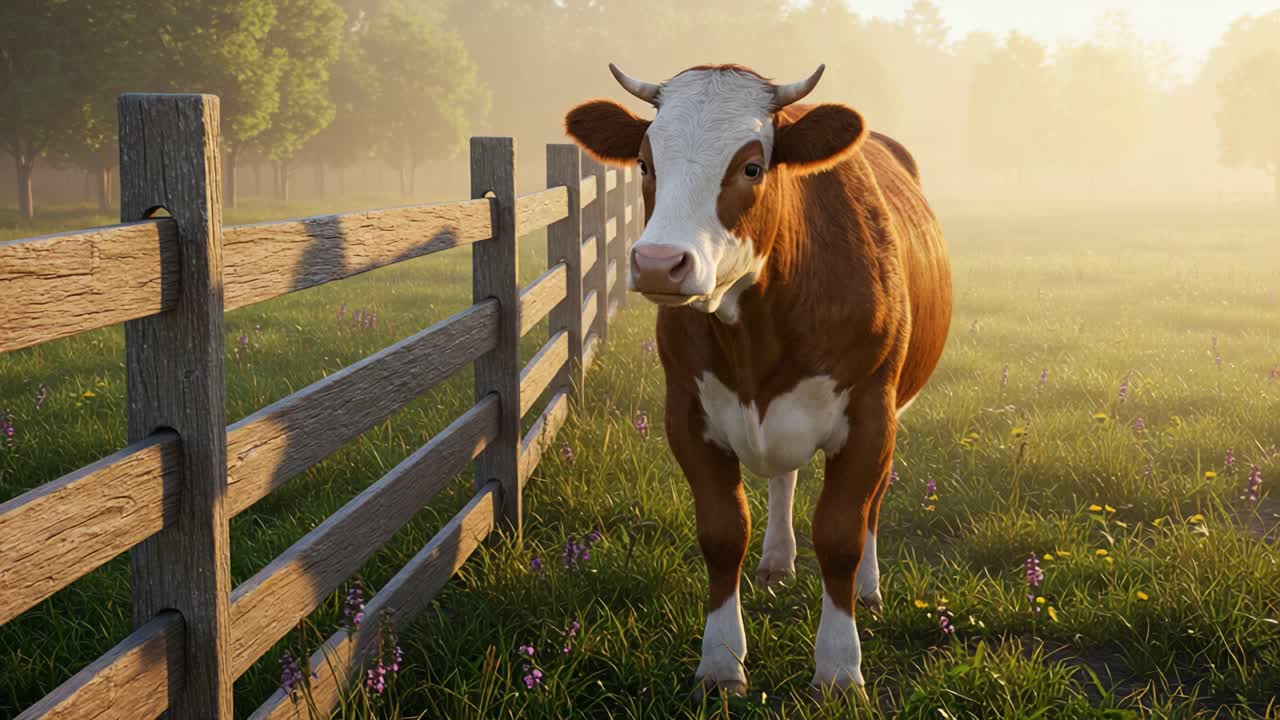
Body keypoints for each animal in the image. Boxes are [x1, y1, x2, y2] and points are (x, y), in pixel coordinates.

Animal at [564, 63, 952, 699]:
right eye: (645, 163)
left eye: (751, 167)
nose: (658, 262)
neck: (756, 332)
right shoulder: (687, 414)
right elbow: (724, 534)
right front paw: (721, 663)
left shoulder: (872, 414)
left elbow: (842, 534)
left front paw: (839, 668)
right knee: (783, 477)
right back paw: (776, 560)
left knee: (874, 502)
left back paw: (868, 588)